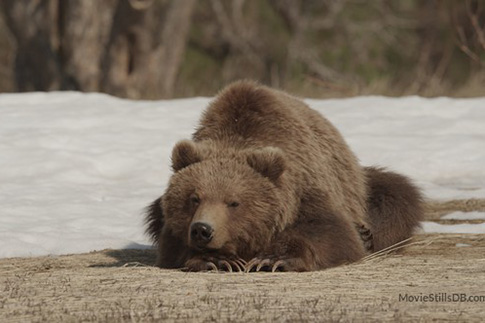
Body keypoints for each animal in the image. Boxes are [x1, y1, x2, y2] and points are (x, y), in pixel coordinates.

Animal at [145, 81, 424, 274]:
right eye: (194, 198)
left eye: (234, 202)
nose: (202, 230)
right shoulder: (171, 225)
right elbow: (172, 246)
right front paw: (219, 261)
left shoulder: (305, 189)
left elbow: (332, 233)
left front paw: (273, 259)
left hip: (361, 189)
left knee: (396, 197)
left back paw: (366, 233)